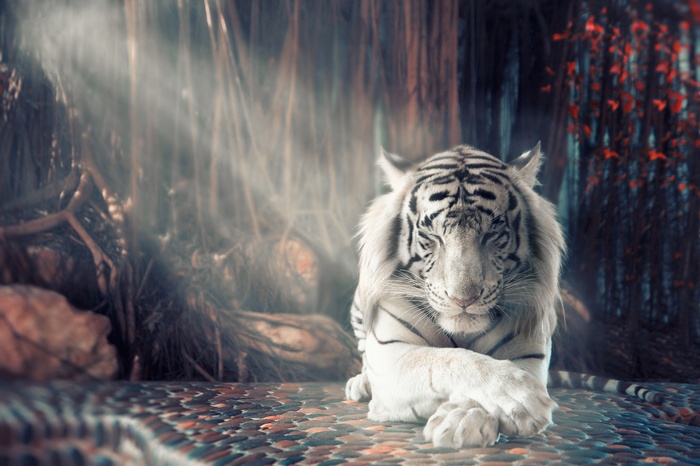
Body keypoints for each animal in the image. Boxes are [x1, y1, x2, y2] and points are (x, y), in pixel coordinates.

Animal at [344, 143, 662, 448]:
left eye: (492, 234)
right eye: (432, 236)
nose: (463, 299)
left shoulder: (530, 353)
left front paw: (463, 420)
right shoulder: (391, 354)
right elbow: (449, 360)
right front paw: (520, 398)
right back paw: (360, 384)